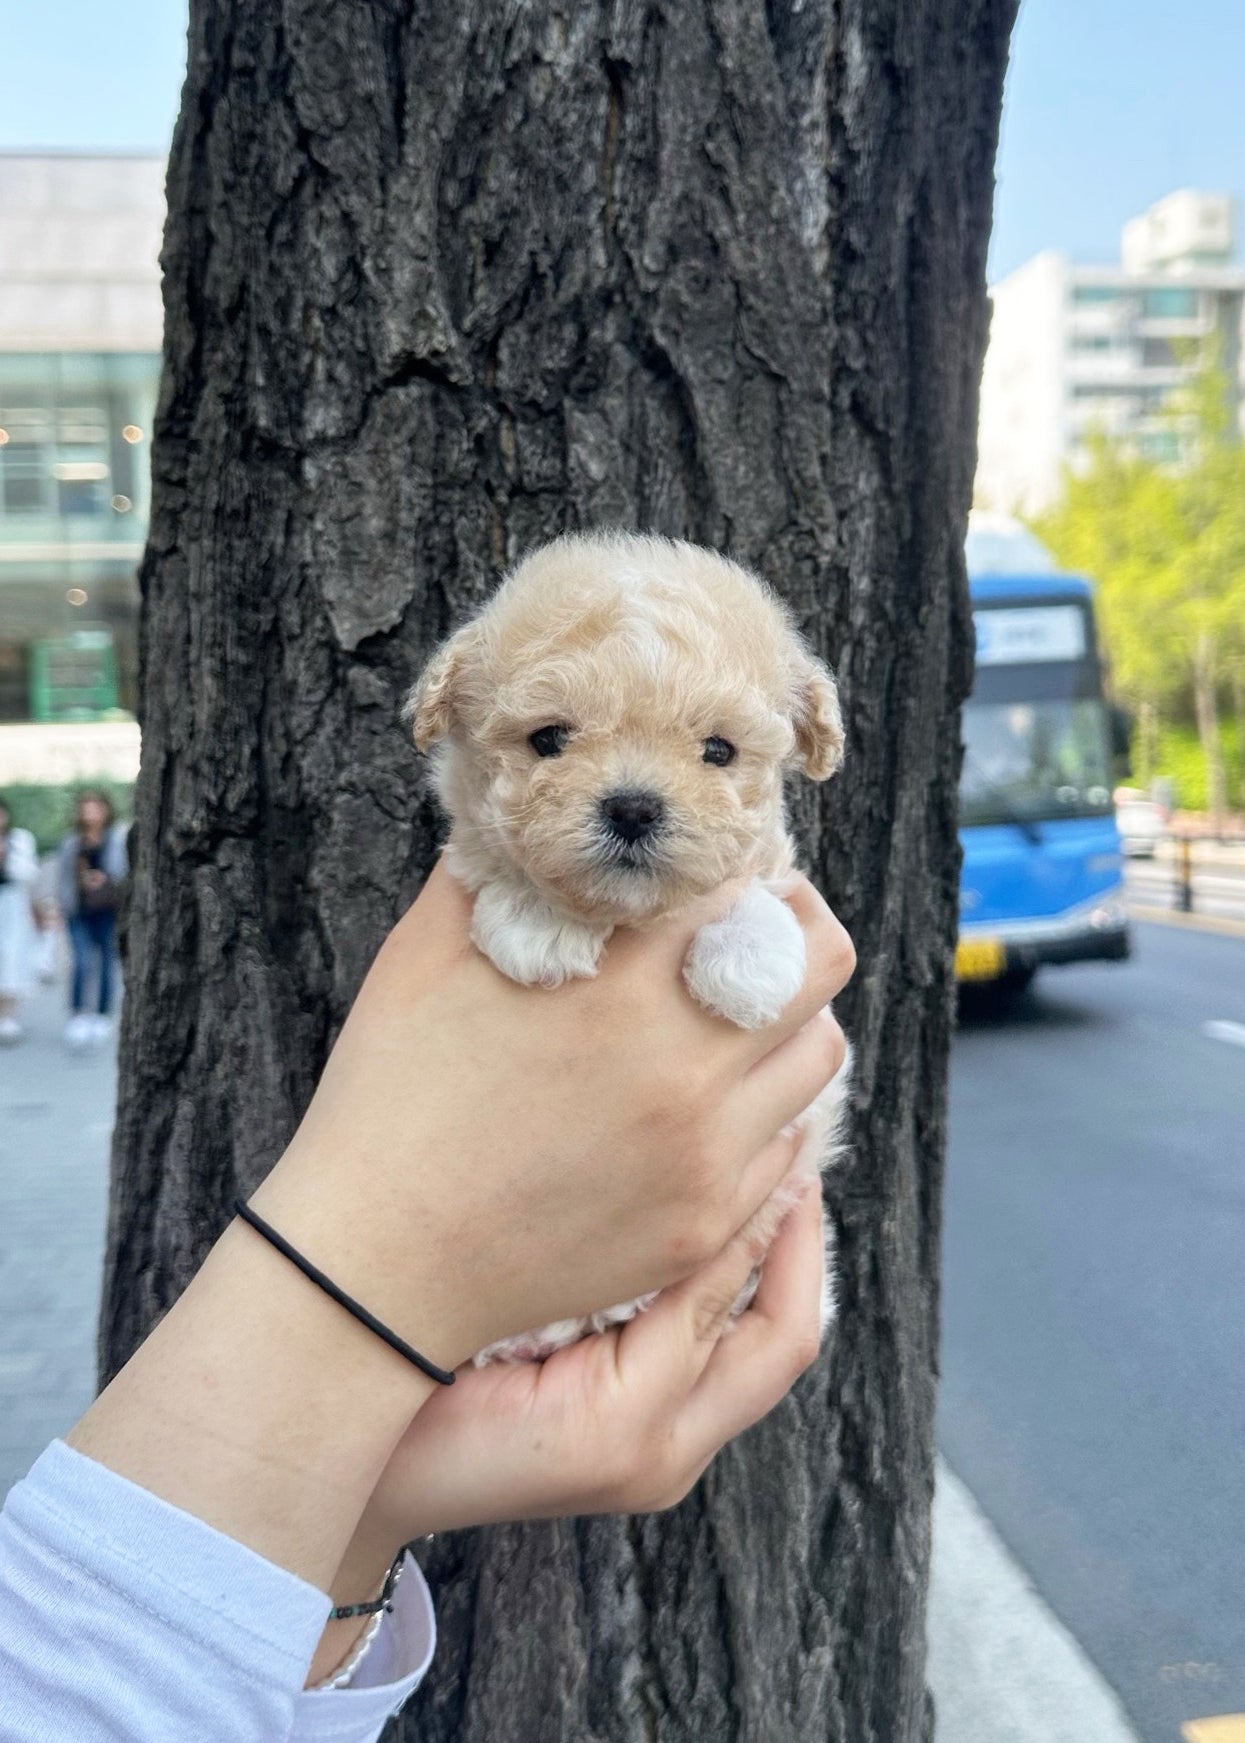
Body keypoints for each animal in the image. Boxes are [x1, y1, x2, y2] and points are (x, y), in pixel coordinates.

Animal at [411, 529, 847, 1359]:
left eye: (718, 749)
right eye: (548, 738)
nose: (634, 806)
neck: (631, 915)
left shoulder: (770, 873)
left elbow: (756, 890)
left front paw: (747, 969)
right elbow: (501, 864)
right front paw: (538, 922)